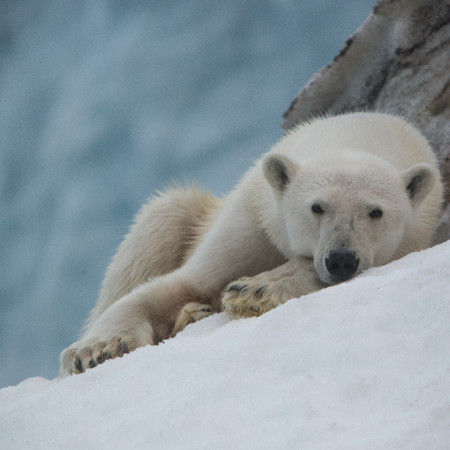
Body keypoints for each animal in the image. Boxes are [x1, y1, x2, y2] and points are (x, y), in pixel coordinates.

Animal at [59, 110, 442, 374]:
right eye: (317, 207)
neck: (357, 136)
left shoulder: (413, 238)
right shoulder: (253, 218)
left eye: (375, 212)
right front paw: (99, 349)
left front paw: (254, 290)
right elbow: (179, 285)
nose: (341, 259)